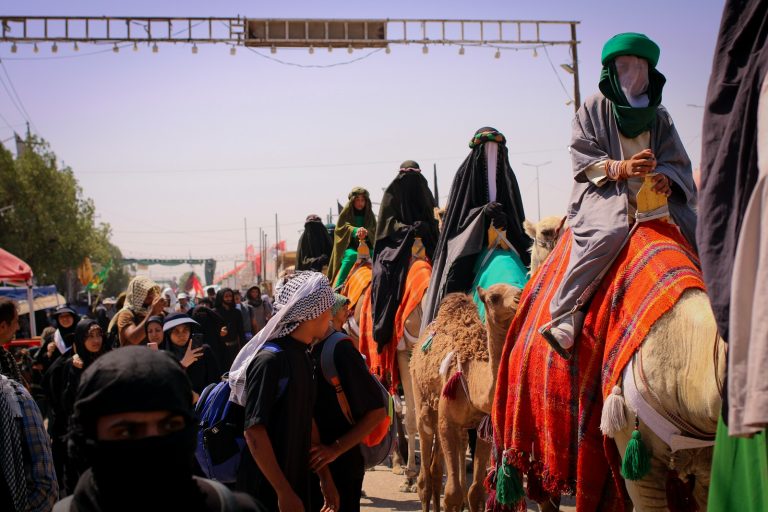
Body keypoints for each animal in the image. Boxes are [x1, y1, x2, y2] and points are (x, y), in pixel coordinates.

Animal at [408, 284, 520, 512]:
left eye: (519, 288)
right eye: (494, 297)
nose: (519, 298)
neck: (474, 378)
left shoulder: (483, 426)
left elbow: (475, 492)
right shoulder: (447, 422)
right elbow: (453, 493)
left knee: (436, 469)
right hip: (422, 399)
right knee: (425, 475)